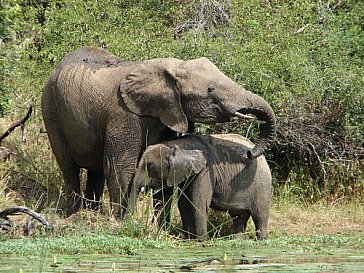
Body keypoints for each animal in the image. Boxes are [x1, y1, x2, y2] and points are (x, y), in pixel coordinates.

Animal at [41, 46, 276, 217]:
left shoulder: (170, 116)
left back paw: (92, 213)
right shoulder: (124, 115)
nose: (249, 152)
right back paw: (74, 215)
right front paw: (121, 221)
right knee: (69, 167)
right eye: (210, 90)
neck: (173, 67)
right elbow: (120, 167)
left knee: (95, 170)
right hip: (51, 111)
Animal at [129, 133, 272, 238]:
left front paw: (201, 240)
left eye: (151, 167)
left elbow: (198, 203)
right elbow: (181, 203)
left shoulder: (205, 172)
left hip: (262, 184)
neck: (175, 145)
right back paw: (237, 240)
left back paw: (261, 240)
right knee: (239, 218)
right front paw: (189, 238)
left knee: (260, 216)